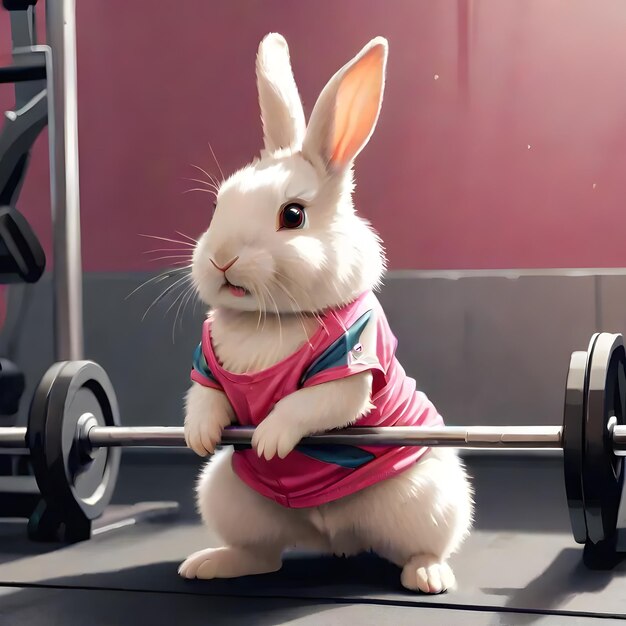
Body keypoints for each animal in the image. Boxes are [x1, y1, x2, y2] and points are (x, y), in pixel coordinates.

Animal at [178, 33, 470, 588]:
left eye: (293, 215)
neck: (269, 321)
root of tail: (335, 537)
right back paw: (208, 564)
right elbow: (204, 398)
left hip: (429, 500)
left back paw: (429, 576)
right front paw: (199, 437)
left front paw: (270, 442)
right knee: (263, 555)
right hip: (228, 495)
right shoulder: (206, 367)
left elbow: (313, 404)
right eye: (216, 206)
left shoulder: (351, 363)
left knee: (424, 547)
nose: (221, 258)